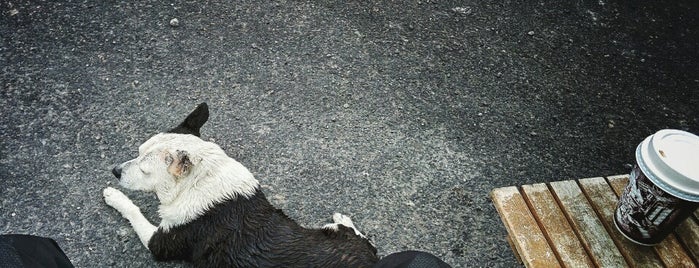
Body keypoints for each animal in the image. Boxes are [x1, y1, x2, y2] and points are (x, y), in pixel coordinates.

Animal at [101, 103, 380, 266]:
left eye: (144, 170)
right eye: (137, 152)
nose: (115, 171)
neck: (200, 180)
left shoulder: (159, 243)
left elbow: (133, 210)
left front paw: (113, 196)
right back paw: (343, 218)